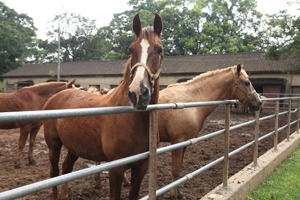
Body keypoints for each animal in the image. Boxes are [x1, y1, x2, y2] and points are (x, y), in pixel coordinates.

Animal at [42, 12, 163, 200]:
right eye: (131, 50)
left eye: (159, 50)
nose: (137, 93)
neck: (132, 120)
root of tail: (59, 95)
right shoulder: (116, 169)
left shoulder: (141, 167)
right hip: (54, 145)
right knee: (54, 174)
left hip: (74, 147)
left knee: (66, 168)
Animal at [158, 63, 262, 199]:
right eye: (247, 82)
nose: (259, 102)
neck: (191, 102)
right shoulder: (177, 142)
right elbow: (175, 169)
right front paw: (173, 195)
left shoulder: (185, 142)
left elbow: (179, 168)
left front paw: (178, 193)